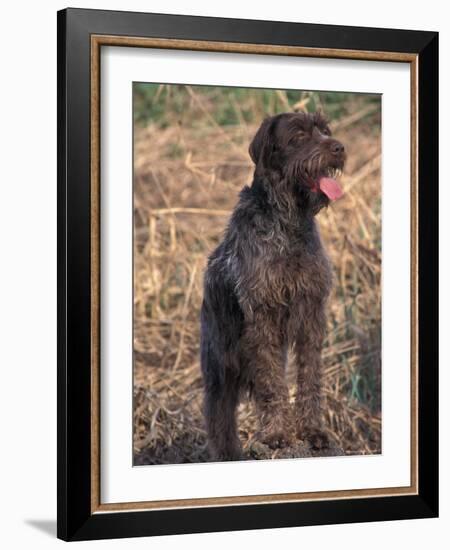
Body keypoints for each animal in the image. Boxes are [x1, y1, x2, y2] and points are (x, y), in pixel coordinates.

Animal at [200, 111, 344, 462]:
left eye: (324, 130)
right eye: (299, 135)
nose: (339, 148)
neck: (289, 223)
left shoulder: (311, 313)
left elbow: (309, 378)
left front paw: (312, 431)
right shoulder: (263, 315)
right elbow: (271, 386)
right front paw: (277, 434)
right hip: (220, 365)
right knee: (219, 417)